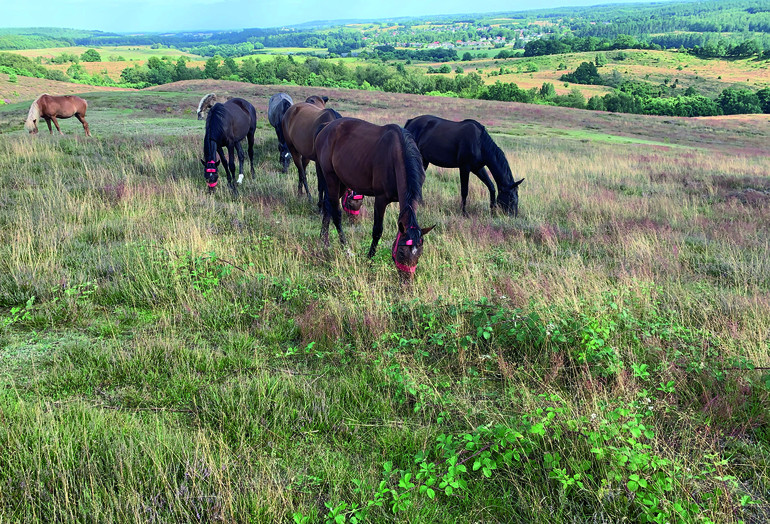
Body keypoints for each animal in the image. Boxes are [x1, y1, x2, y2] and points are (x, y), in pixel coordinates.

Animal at [312, 117, 432, 280]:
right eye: (401, 252)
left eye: (420, 253)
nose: (406, 281)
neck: (398, 153)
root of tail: (326, 127)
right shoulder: (380, 200)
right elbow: (377, 230)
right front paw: (370, 259)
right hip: (331, 178)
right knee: (336, 214)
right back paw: (346, 249)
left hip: (341, 181)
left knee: (327, 206)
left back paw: (324, 241)